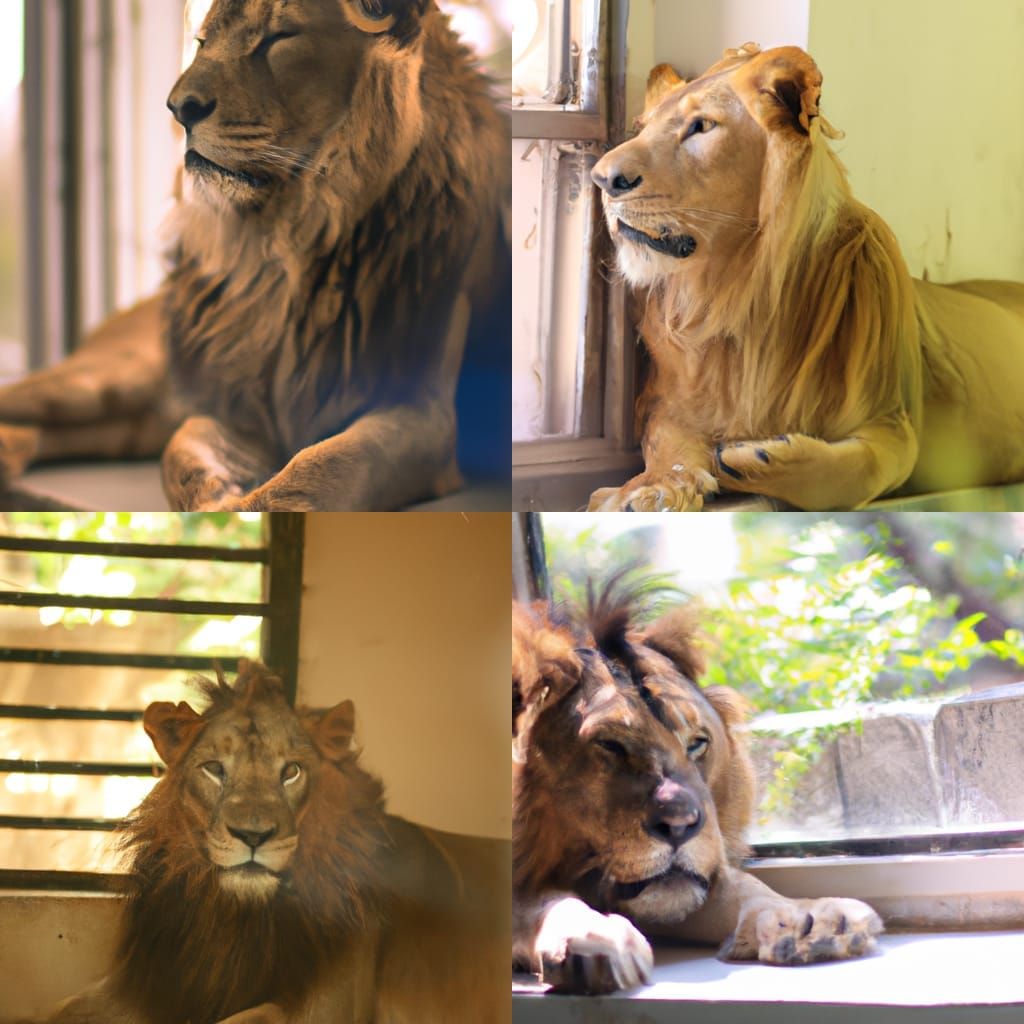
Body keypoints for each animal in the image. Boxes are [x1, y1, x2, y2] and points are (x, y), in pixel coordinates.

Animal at [0, 0, 509, 511]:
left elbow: (324, 464)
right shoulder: (234, 403)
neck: (294, 246)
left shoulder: (425, 413)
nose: (178, 109)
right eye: (203, 43)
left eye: (278, 37)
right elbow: (183, 454)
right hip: (106, 379)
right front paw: (218, 504)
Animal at [35, 660, 509, 1024]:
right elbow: (58, 1008)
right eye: (214, 769)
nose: (253, 835)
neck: (232, 920)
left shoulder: (330, 1005)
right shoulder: (154, 986)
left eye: (292, 771)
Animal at [512, 580, 882, 994]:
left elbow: (743, 886)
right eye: (610, 744)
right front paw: (593, 938)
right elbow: (541, 901)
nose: (680, 825)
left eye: (696, 743)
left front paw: (814, 921)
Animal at [587, 43, 1024, 512]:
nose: (602, 180)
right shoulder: (667, 402)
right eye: (641, 128)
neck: (734, 289)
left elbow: (855, 472)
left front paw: (755, 457)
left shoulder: (894, 420)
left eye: (701, 126)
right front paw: (649, 487)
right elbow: (666, 442)